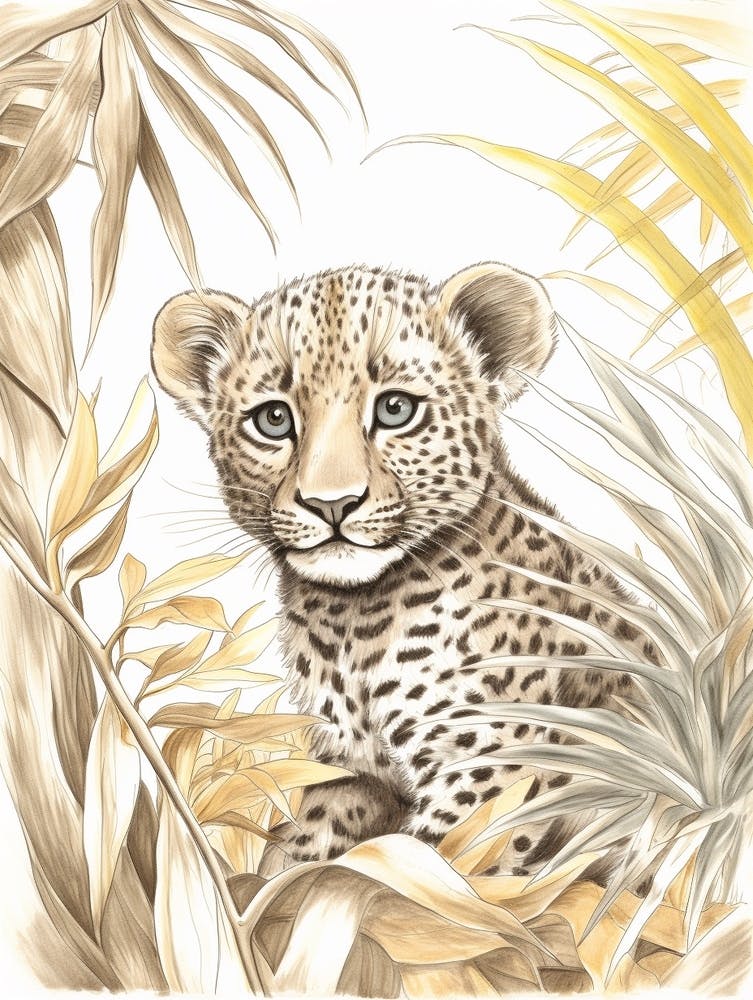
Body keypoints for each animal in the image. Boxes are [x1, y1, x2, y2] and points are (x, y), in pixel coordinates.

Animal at [151, 262, 656, 880]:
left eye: (395, 409)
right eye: (272, 419)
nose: (332, 504)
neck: (353, 621)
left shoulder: (493, 761)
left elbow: (434, 863)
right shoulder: (349, 767)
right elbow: (308, 850)